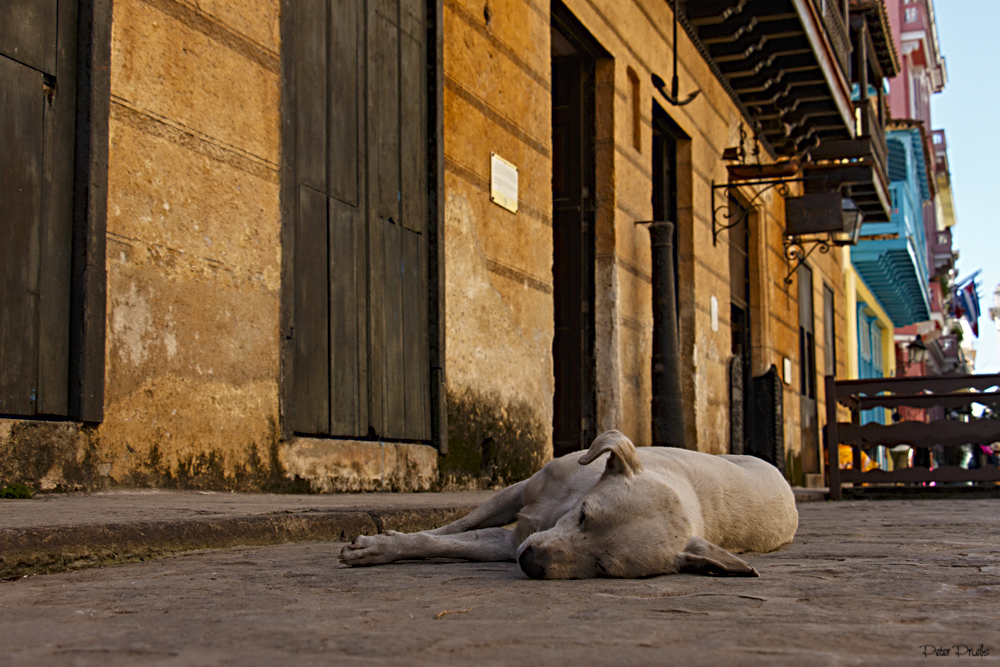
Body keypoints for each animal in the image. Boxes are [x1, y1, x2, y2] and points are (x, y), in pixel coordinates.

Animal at [340, 430, 800, 576]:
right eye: (584, 515)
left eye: (603, 568)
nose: (531, 563)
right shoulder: (520, 492)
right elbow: (447, 530)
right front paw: (382, 542)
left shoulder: (511, 543)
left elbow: (451, 544)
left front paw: (383, 546)